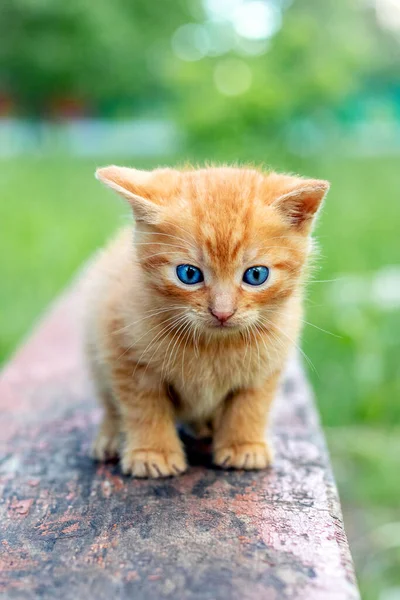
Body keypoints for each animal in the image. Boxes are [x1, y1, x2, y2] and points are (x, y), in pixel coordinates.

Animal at [86, 164, 330, 478]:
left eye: (256, 275)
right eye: (189, 274)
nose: (222, 312)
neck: (212, 345)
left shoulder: (267, 364)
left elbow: (250, 405)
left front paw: (243, 445)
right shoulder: (124, 354)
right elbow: (143, 408)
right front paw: (153, 452)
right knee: (109, 403)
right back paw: (111, 437)